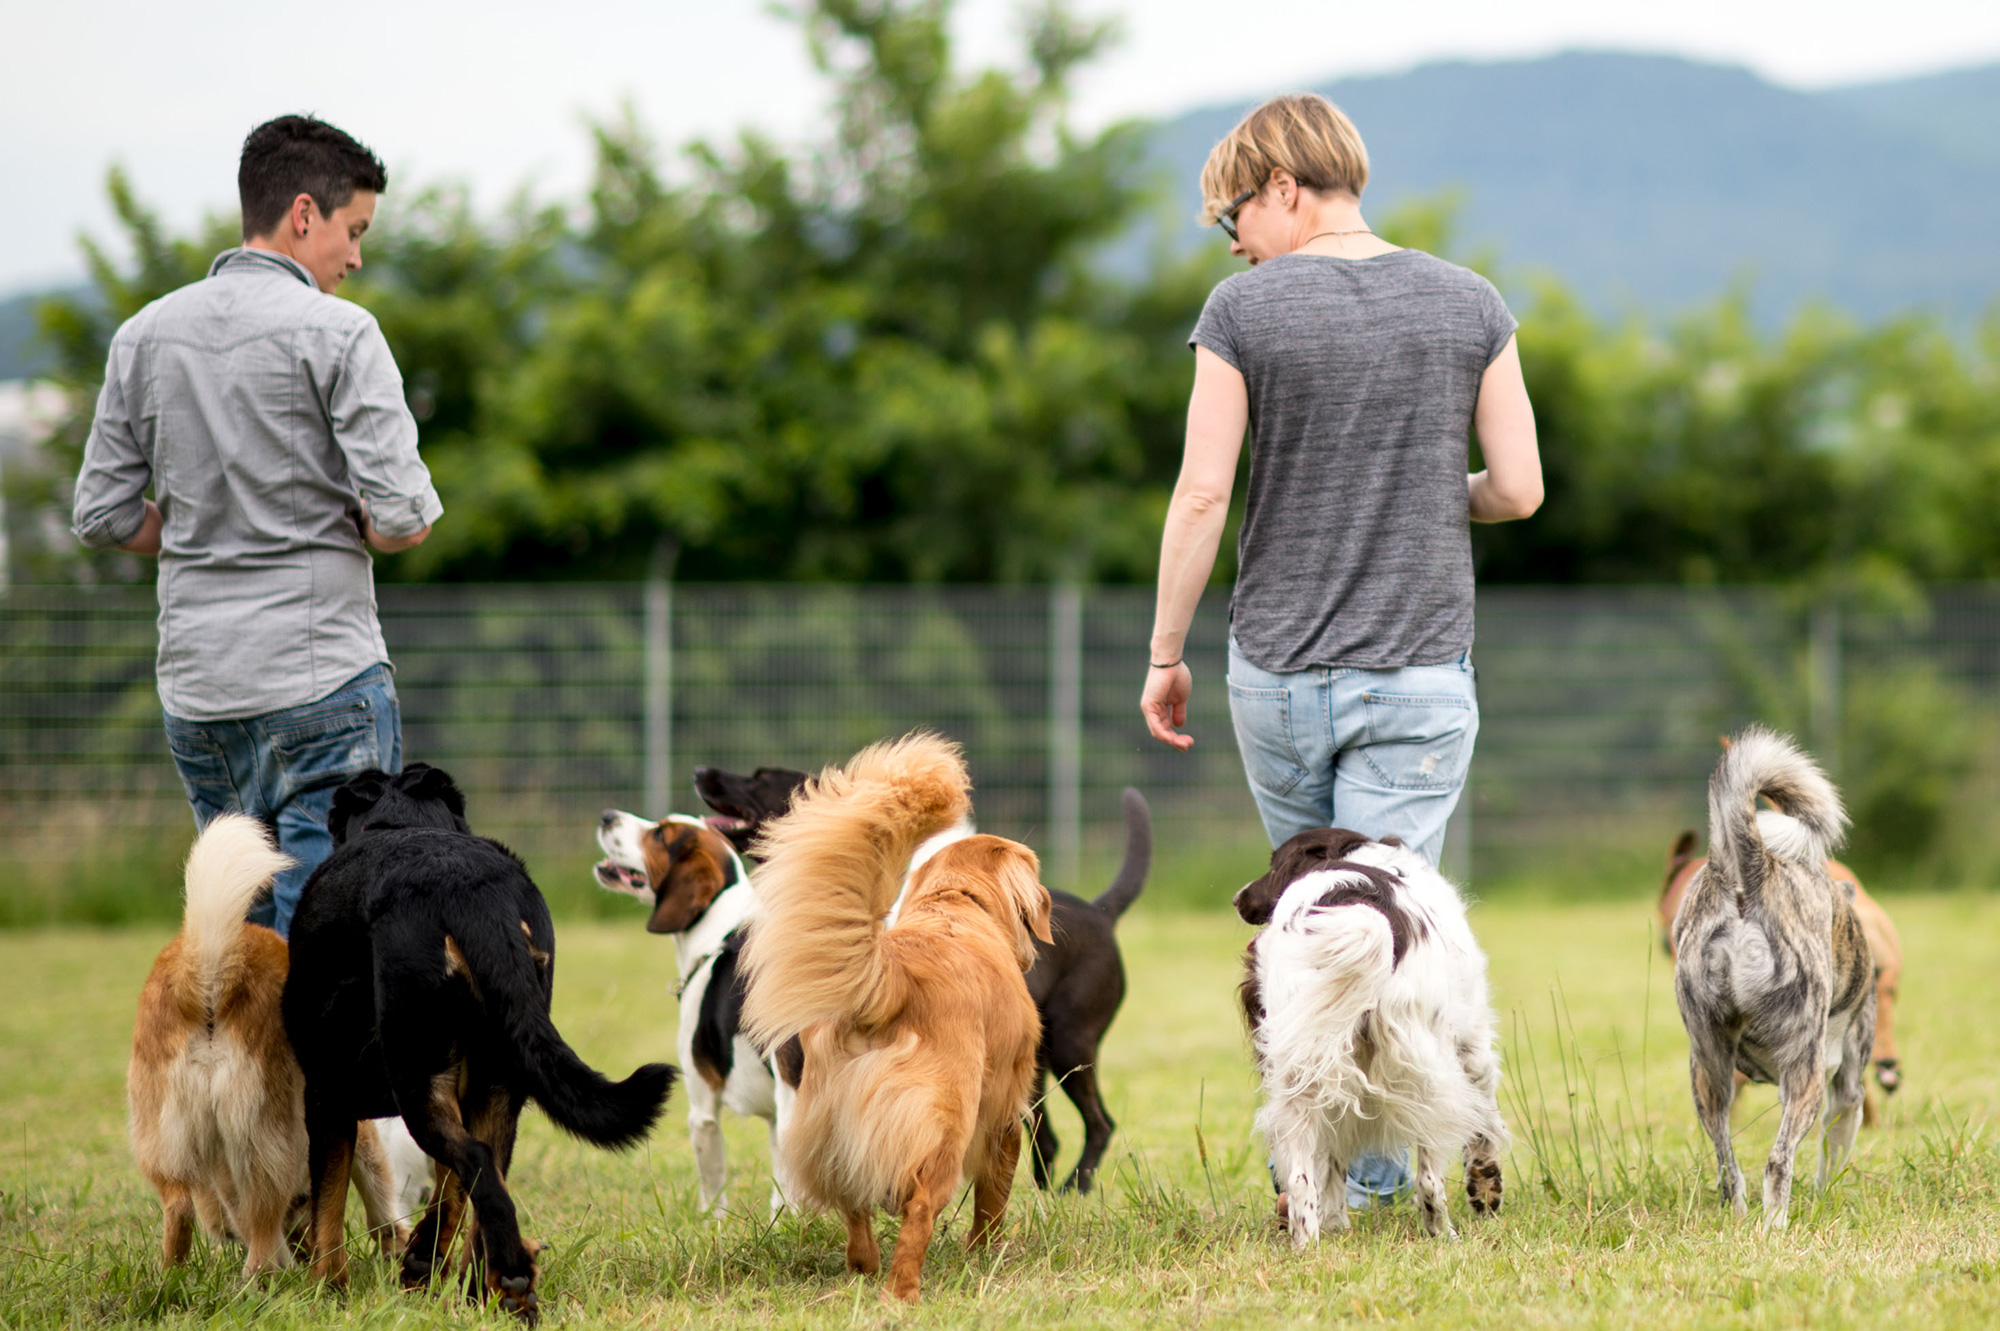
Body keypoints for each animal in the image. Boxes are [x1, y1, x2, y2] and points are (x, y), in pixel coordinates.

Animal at [131, 807, 404, 1279]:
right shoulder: (350, 1121)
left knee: (183, 1209)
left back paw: (173, 1280)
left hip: (163, 1140)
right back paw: (271, 1280)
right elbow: (379, 1197)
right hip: (267, 1142)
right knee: (260, 1235)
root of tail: (206, 975)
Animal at [736, 731, 1048, 1303]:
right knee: (920, 1209)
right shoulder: (1006, 1110)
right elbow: (992, 1199)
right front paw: (986, 1254)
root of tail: (892, 980)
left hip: (827, 1130)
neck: (955, 903)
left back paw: (865, 1266)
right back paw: (902, 1293)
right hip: (946, 1127)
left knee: (851, 1202)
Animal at [1672, 719, 1872, 1231]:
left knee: (1728, 1166)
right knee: (1778, 1161)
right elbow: (1831, 1156)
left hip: (1708, 1071)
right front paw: (1825, 1197)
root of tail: (1749, 872)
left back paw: (1741, 1219)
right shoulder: (1846, 1090)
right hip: (1807, 1076)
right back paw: (1775, 1227)